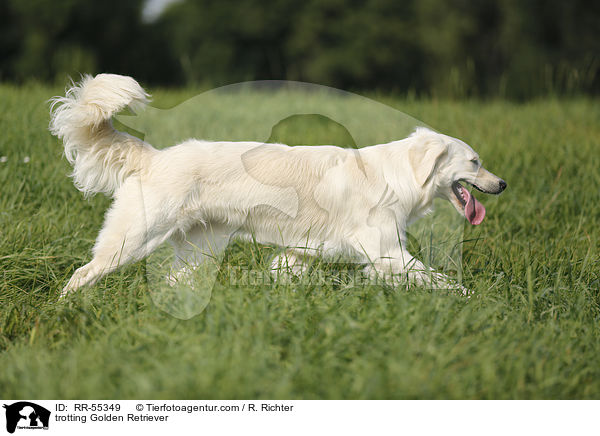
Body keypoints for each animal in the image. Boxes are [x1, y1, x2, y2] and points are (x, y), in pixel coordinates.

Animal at [49, 76, 506, 300]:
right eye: (475, 162)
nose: (502, 184)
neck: (398, 175)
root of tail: (154, 156)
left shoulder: (302, 251)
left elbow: (282, 273)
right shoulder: (389, 254)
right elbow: (442, 281)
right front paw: (478, 298)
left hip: (199, 251)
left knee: (174, 283)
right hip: (133, 240)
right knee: (82, 273)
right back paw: (65, 308)